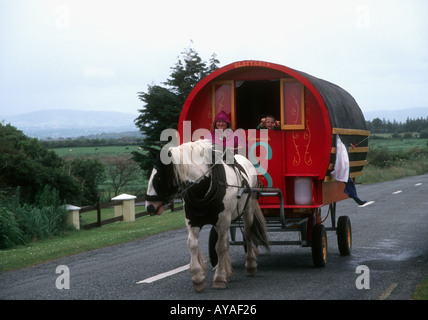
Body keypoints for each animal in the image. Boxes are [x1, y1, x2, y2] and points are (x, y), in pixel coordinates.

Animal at [145, 139, 270, 292]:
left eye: (159, 177)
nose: (150, 206)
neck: (203, 187)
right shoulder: (193, 220)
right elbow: (193, 244)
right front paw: (198, 278)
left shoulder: (223, 219)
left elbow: (220, 247)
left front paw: (220, 278)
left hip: (248, 210)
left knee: (247, 234)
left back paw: (250, 265)